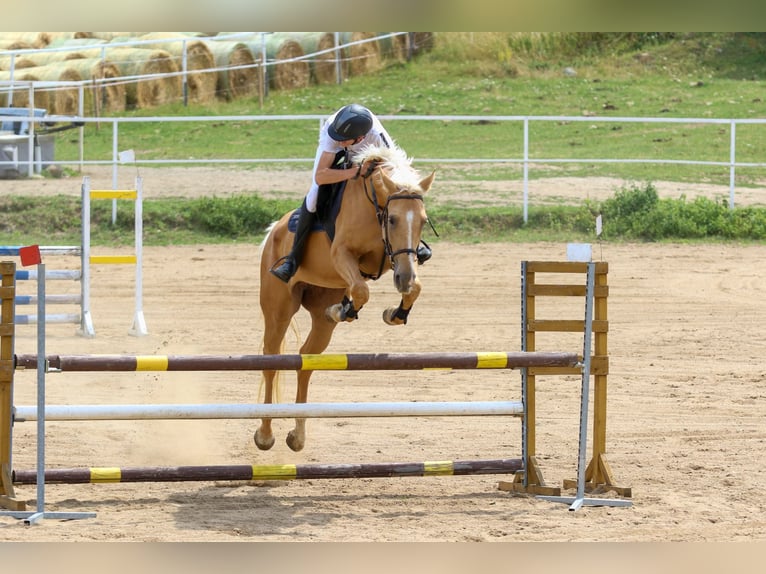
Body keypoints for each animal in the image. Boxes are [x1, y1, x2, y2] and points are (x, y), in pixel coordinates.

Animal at [260, 145, 436, 454]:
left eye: (423, 221)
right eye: (393, 219)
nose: (402, 279)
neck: (374, 205)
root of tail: (273, 231)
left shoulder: (397, 260)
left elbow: (413, 286)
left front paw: (394, 313)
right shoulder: (342, 254)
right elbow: (362, 289)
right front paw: (346, 309)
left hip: (321, 313)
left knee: (306, 360)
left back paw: (298, 436)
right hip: (278, 310)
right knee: (271, 360)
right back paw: (265, 435)